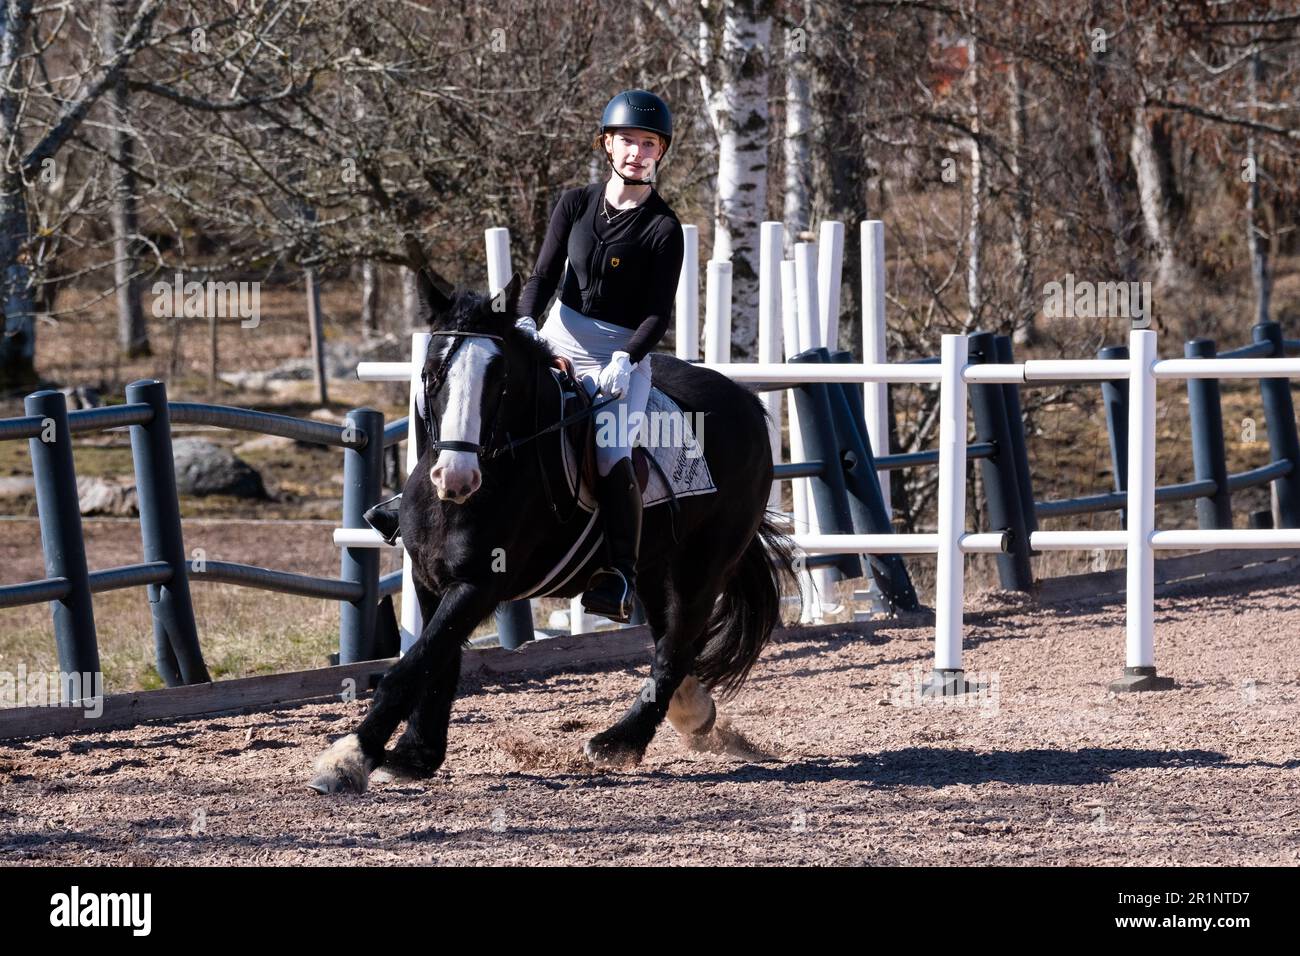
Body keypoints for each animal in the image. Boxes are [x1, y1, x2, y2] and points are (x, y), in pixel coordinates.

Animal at [309, 269, 795, 790]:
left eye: (500, 380)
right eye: (432, 373)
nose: (455, 478)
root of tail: (746, 402)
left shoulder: (480, 584)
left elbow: (412, 666)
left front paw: (349, 757)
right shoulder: (429, 579)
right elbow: (435, 662)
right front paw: (415, 755)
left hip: (702, 566)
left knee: (676, 645)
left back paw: (619, 742)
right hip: (654, 566)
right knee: (673, 637)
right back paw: (692, 711)